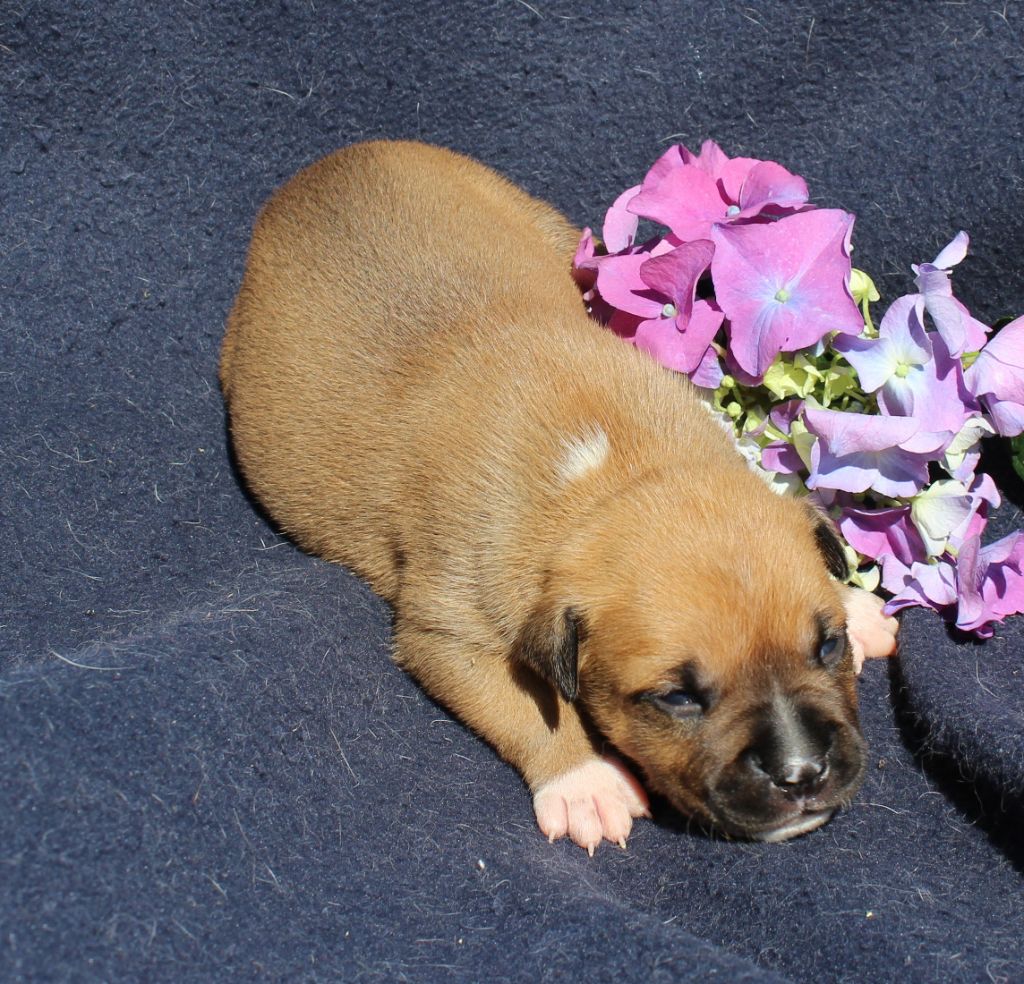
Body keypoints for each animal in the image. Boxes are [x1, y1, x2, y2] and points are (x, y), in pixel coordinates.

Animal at [220, 140, 898, 853]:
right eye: (677, 698)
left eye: (826, 647)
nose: (803, 773)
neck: (617, 475)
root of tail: (323, 167)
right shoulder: (448, 629)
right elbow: (521, 703)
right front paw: (584, 784)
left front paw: (858, 605)